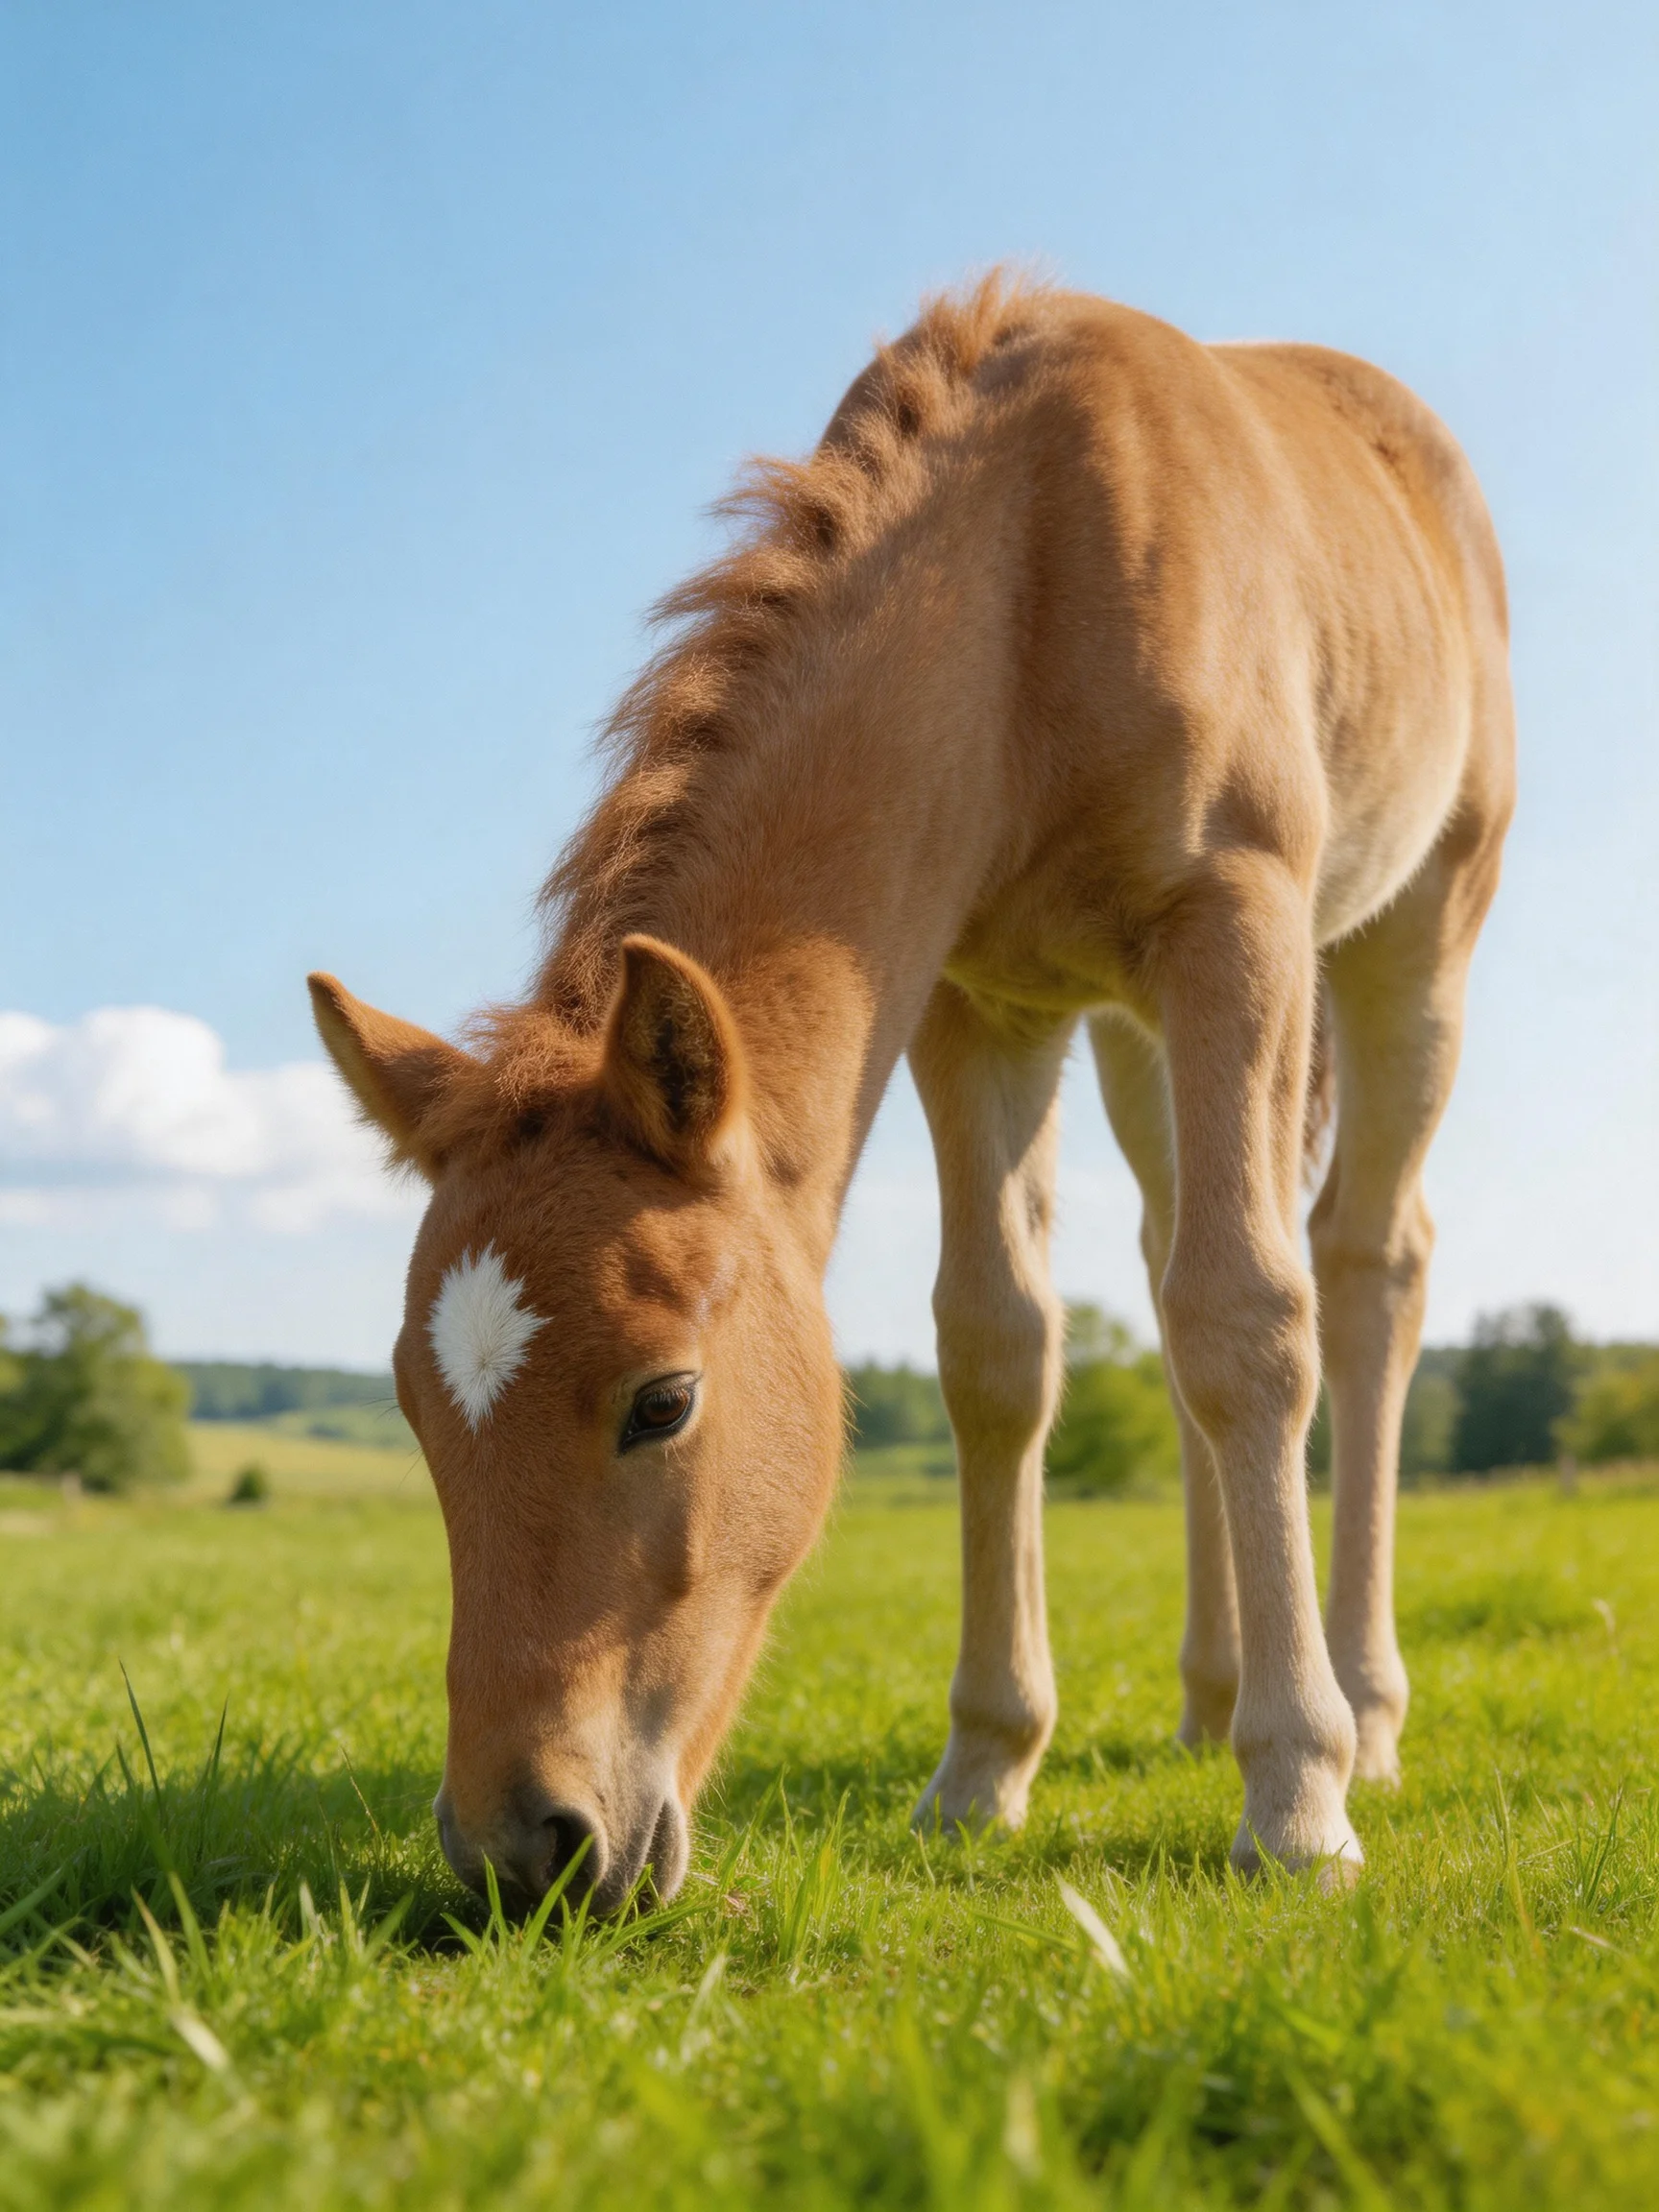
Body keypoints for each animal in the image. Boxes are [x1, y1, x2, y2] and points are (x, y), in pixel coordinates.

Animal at [311, 276, 1513, 1911]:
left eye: (664, 1401)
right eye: (414, 1412)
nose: (520, 1850)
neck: (1030, 575)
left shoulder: (1235, 917)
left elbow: (1251, 1321)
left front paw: (1299, 1805)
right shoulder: (975, 1000)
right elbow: (999, 1348)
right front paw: (982, 1772)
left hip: (1411, 931)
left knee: (1364, 1264)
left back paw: (1359, 1713)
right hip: (1139, 1034)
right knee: (1171, 1253)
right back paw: (1210, 1701)